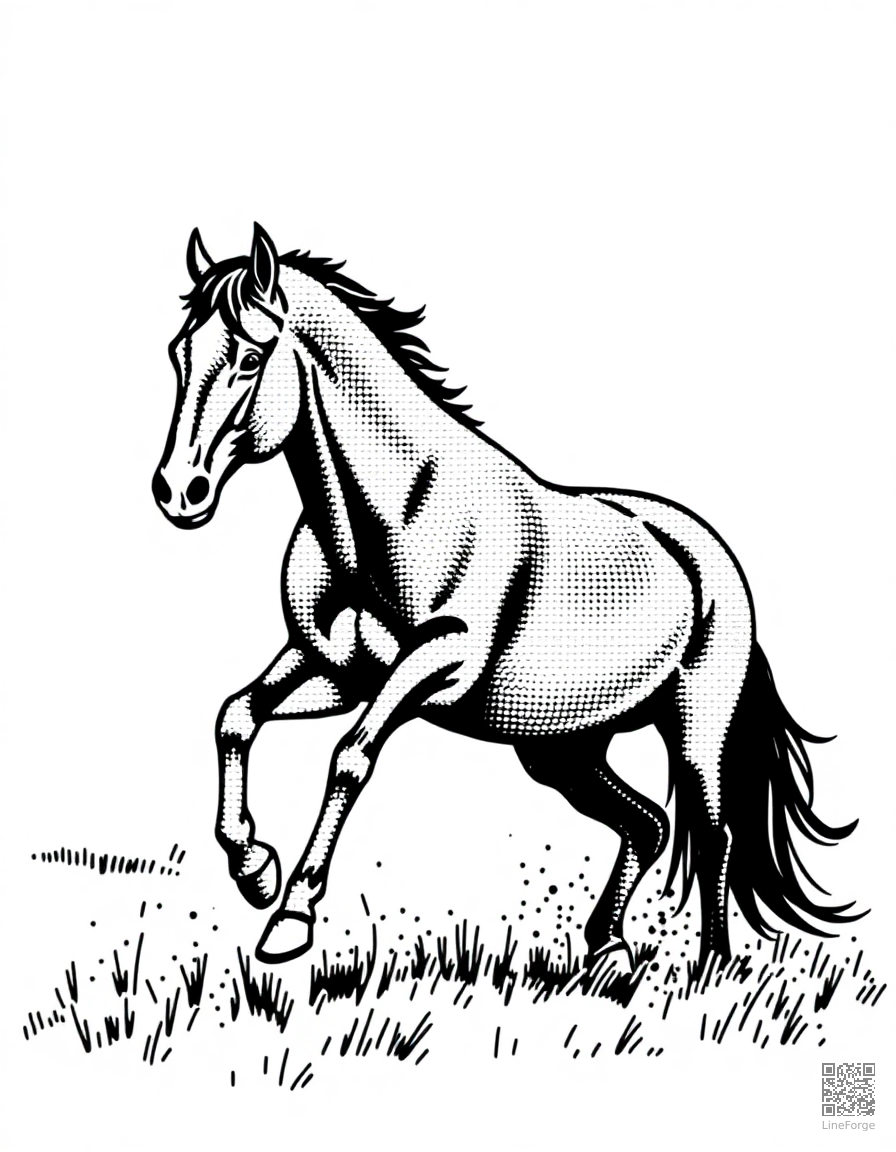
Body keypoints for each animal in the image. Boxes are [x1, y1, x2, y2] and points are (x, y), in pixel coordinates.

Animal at [152, 223, 861, 966]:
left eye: (251, 356)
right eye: (178, 352)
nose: (178, 491)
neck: (395, 514)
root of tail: (714, 559)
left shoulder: (434, 665)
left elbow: (349, 757)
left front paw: (289, 916)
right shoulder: (335, 669)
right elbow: (235, 717)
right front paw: (254, 870)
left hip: (696, 728)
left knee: (711, 831)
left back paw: (710, 966)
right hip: (563, 751)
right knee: (648, 825)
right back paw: (606, 951)